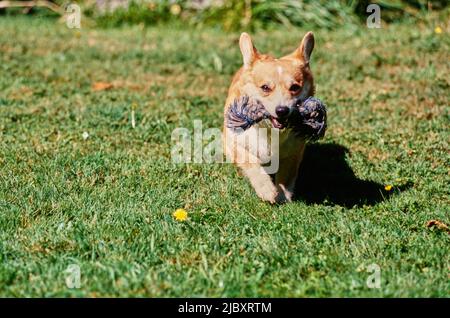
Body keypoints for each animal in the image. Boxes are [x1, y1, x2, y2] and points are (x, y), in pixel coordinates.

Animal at [222, 30, 314, 204]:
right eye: (265, 87)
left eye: (295, 87)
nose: (282, 110)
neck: (270, 132)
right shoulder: (235, 141)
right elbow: (250, 161)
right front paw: (267, 190)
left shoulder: (294, 151)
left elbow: (286, 174)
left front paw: (283, 195)